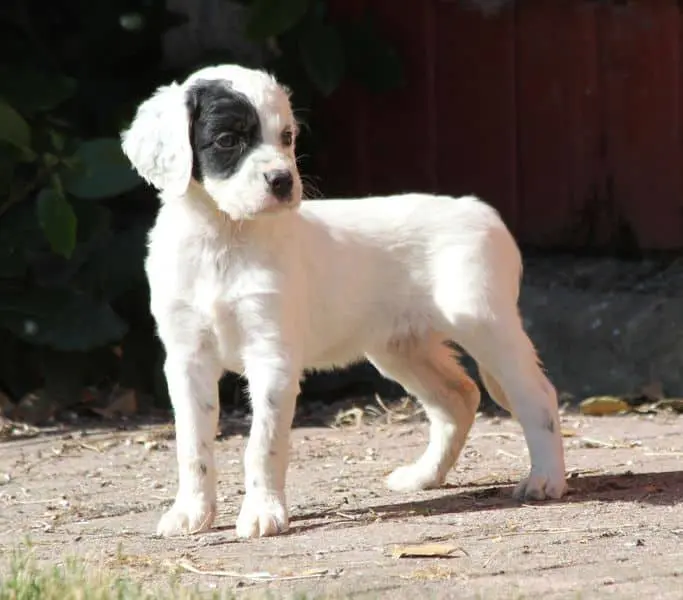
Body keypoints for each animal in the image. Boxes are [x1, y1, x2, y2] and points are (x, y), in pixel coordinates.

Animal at [121, 64, 567, 539]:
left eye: (287, 137)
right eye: (227, 139)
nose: (283, 181)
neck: (223, 239)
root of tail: (480, 210)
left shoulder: (272, 356)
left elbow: (262, 443)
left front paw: (262, 512)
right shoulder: (187, 358)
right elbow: (192, 443)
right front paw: (191, 512)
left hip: (486, 325)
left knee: (536, 395)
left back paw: (545, 478)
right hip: (400, 348)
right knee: (459, 398)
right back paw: (423, 476)